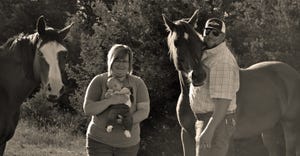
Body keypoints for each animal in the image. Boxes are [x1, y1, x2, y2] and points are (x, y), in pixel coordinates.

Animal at [163, 10, 300, 156]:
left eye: (199, 41)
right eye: (176, 42)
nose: (199, 76)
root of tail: (293, 73)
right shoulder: (186, 135)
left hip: (290, 126)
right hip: (269, 129)